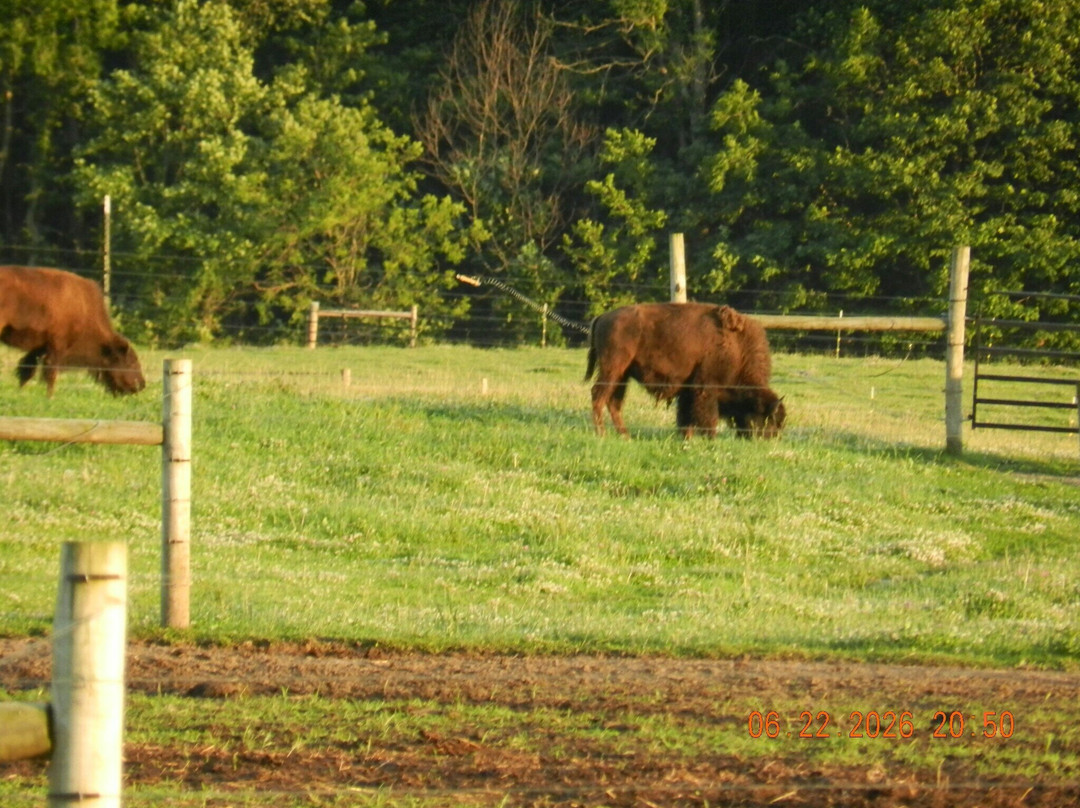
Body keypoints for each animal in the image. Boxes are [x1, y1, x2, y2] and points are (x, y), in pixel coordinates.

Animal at [0, 266, 145, 396]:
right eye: (131, 362)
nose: (141, 385)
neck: (84, 310)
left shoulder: (40, 348)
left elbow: (27, 370)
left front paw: (20, 392)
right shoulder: (57, 347)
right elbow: (50, 373)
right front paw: (50, 397)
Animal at [584, 302, 785, 438]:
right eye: (768, 420)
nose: (769, 439)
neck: (736, 347)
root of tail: (603, 317)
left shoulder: (689, 389)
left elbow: (686, 415)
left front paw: (686, 438)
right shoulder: (706, 387)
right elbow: (707, 416)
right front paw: (710, 438)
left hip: (622, 374)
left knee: (613, 402)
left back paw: (625, 436)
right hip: (612, 368)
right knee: (598, 395)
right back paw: (601, 434)